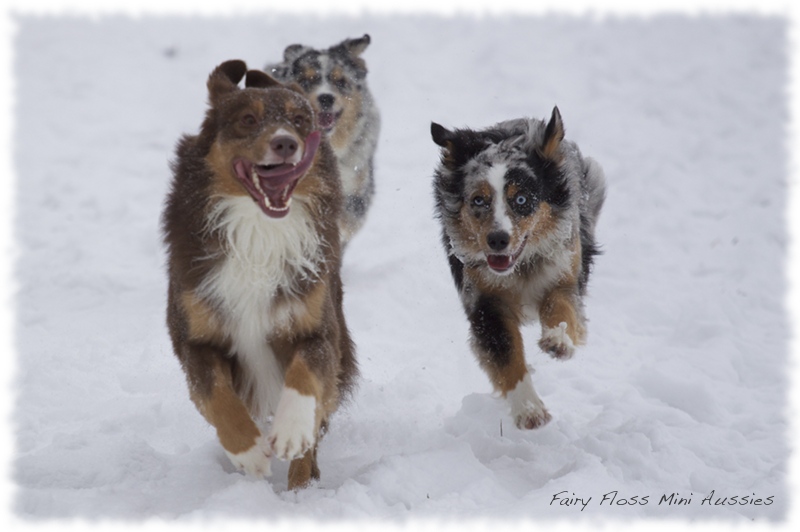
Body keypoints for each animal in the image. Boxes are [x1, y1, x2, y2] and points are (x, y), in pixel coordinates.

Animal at [164, 59, 358, 490]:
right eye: (248, 119)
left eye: (300, 120)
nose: (286, 143)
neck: (258, 231)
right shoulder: (194, 339)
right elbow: (216, 396)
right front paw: (249, 453)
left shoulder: (318, 328)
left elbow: (305, 378)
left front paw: (291, 433)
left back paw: (302, 485)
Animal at [432, 107, 608, 428]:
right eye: (478, 200)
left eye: (522, 199)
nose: (497, 239)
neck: (520, 267)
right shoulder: (484, 300)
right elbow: (505, 352)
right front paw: (529, 409)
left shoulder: (565, 272)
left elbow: (562, 307)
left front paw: (558, 341)